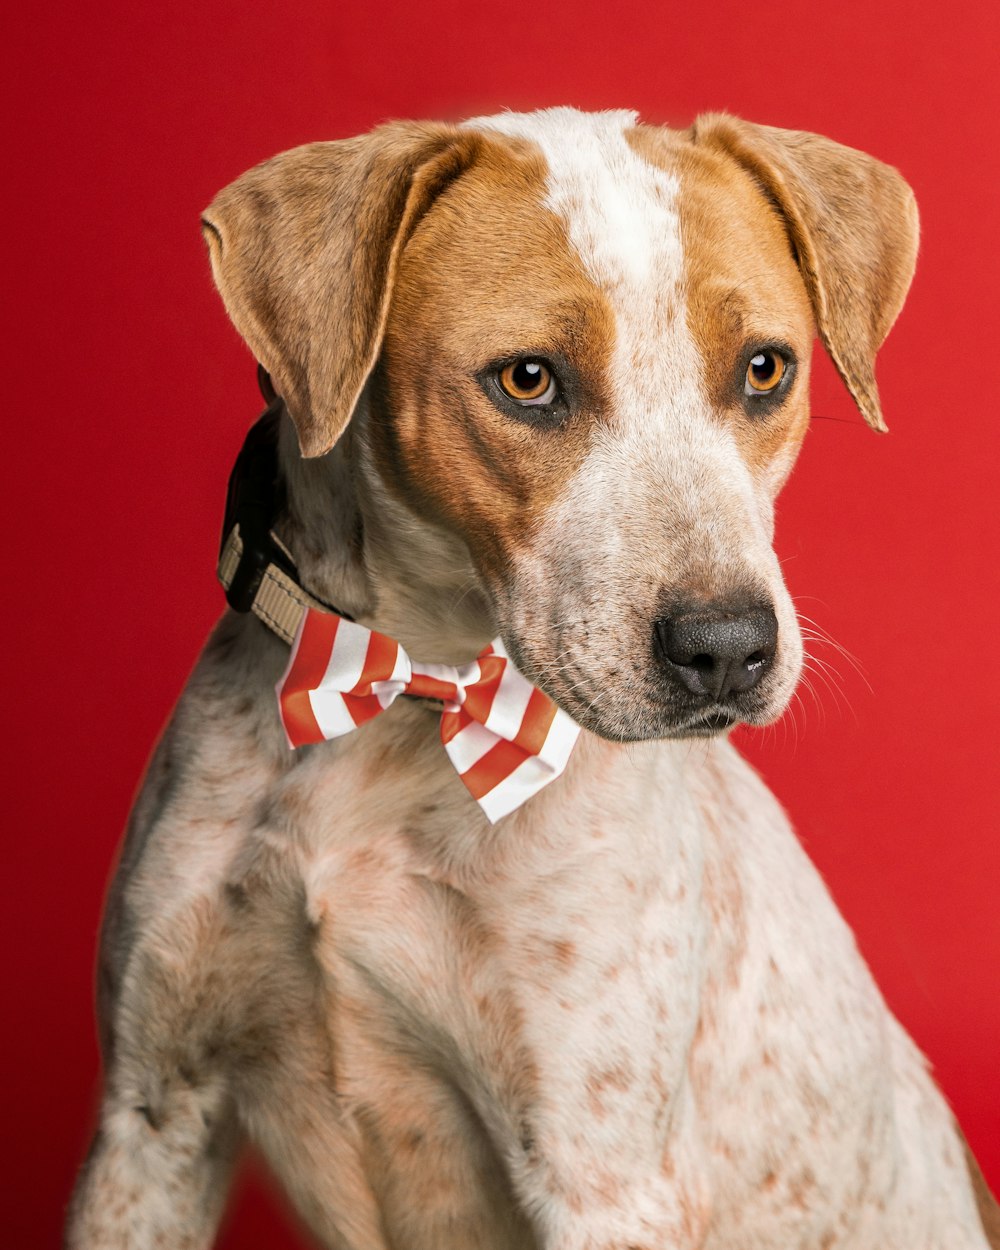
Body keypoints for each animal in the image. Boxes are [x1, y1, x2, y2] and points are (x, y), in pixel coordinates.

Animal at [66, 107, 995, 1250]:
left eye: (765, 368)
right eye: (528, 379)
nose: (728, 646)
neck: (409, 698)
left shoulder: (598, 1177)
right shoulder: (151, 1117)